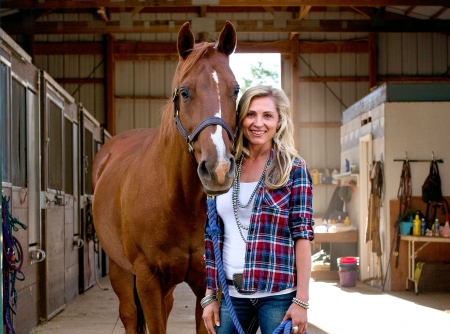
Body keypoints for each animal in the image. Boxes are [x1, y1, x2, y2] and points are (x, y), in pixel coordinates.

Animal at [92, 22, 239, 332]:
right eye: (184, 92)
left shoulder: (205, 284)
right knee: (130, 314)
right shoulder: (148, 279)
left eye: (235, 90)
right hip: (120, 270)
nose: (218, 169)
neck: (177, 200)